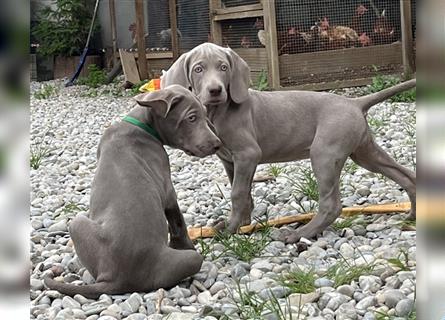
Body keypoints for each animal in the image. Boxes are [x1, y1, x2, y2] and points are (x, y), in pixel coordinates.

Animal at [44, 84, 221, 298]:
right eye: (192, 118)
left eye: (204, 114)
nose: (218, 144)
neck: (141, 123)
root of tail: (114, 280)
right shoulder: (168, 190)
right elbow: (178, 221)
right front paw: (184, 245)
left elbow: (177, 222)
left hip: (76, 223)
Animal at [162, 42, 416, 242]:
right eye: (198, 69)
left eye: (223, 67)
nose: (215, 90)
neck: (218, 112)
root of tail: (355, 102)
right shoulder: (230, 161)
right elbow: (245, 193)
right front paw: (242, 224)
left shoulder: (248, 154)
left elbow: (237, 193)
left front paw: (231, 230)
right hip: (364, 152)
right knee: (405, 175)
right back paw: (413, 214)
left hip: (324, 154)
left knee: (332, 205)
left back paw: (300, 233)